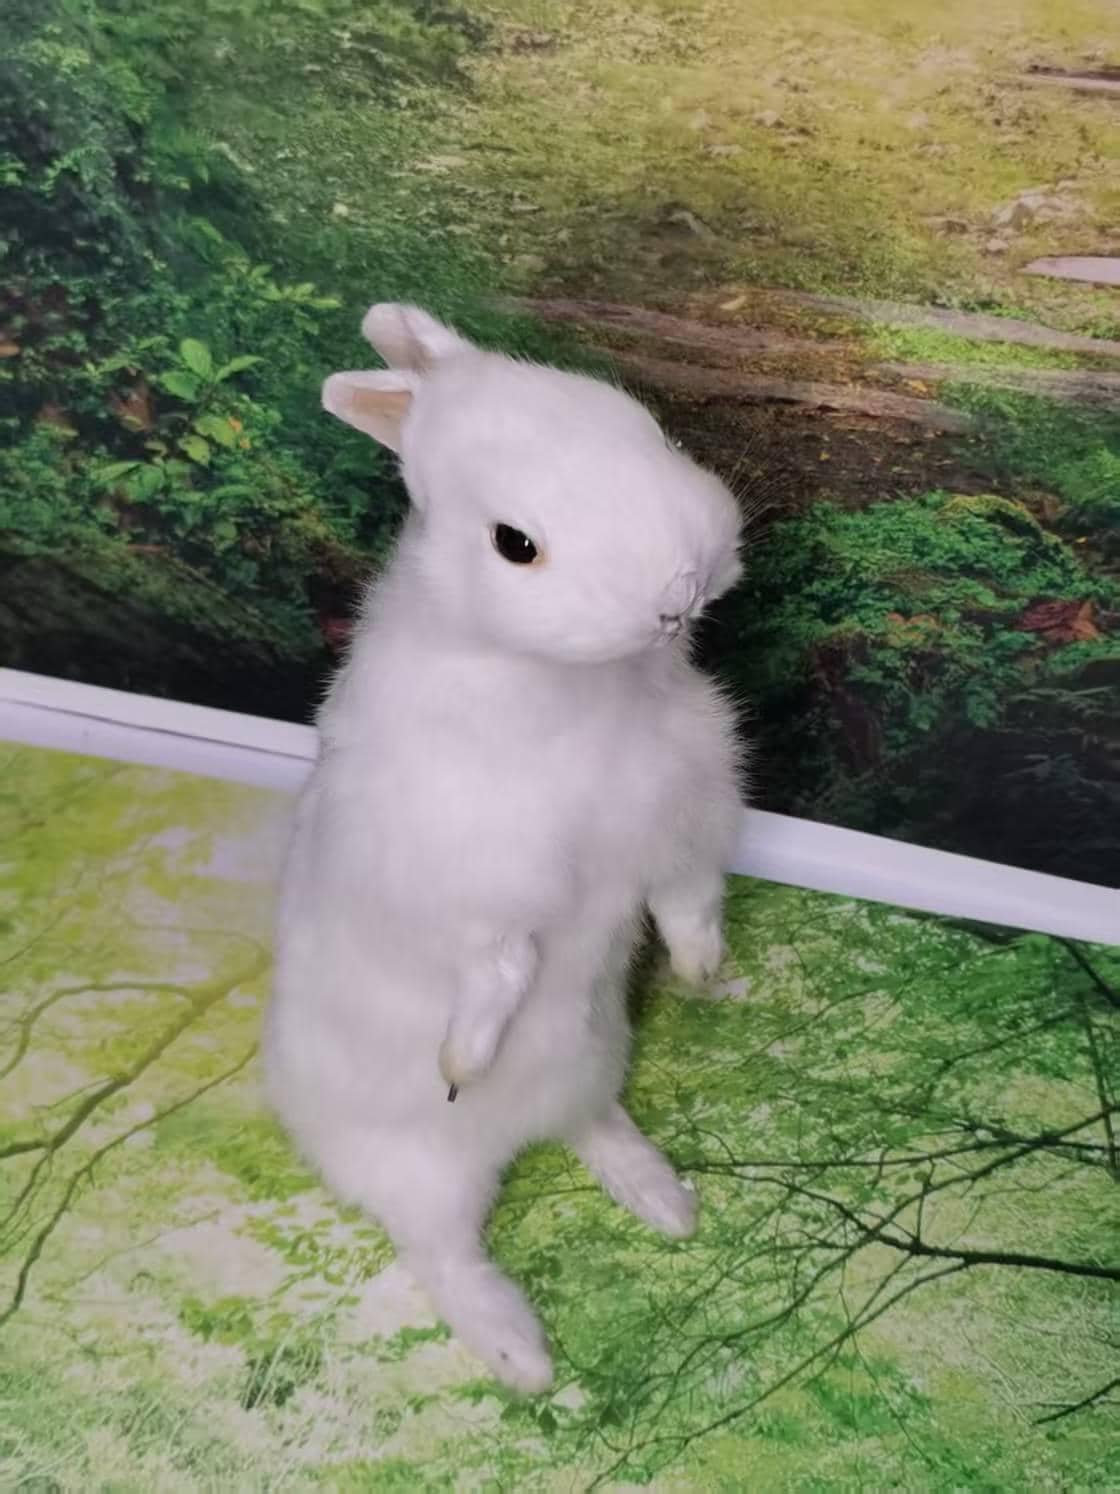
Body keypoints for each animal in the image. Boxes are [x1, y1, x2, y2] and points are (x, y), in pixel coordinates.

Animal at [264, 302, 745, 1394]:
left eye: (645, 428)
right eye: (514, 543)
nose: (676, 592)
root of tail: (514, 1135)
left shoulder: (687, 815)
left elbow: (688, 899)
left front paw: (705, 972)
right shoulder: (472, 880)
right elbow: (494, 964)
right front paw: (462, 1056)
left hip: (597, 1058)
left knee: (590, 1127)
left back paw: (665, 1203)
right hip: (419, 1173)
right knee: (443, 1252)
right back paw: (520, 1354)